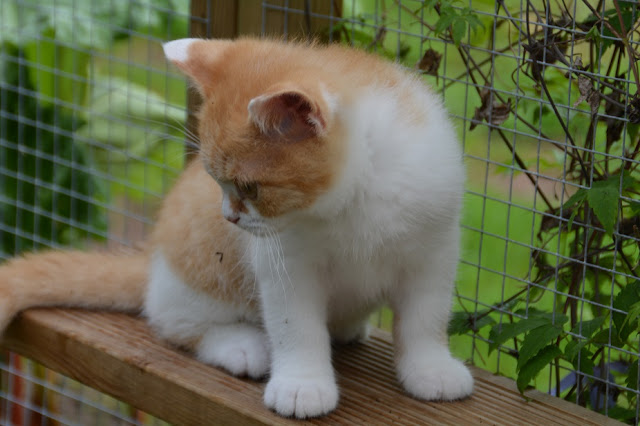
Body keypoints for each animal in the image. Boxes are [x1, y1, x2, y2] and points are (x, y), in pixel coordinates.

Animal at [0, 38, 473, 418]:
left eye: (249, 187)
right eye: (216, 181)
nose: (230, 217)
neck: (354, 198)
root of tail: (153, 261)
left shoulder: (434, 250)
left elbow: (425, 318)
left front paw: (431, 368)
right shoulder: (286, 267)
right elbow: (296, 327)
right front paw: (302, 384)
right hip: (195, 275)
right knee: (174, 321)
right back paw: (240, 346)